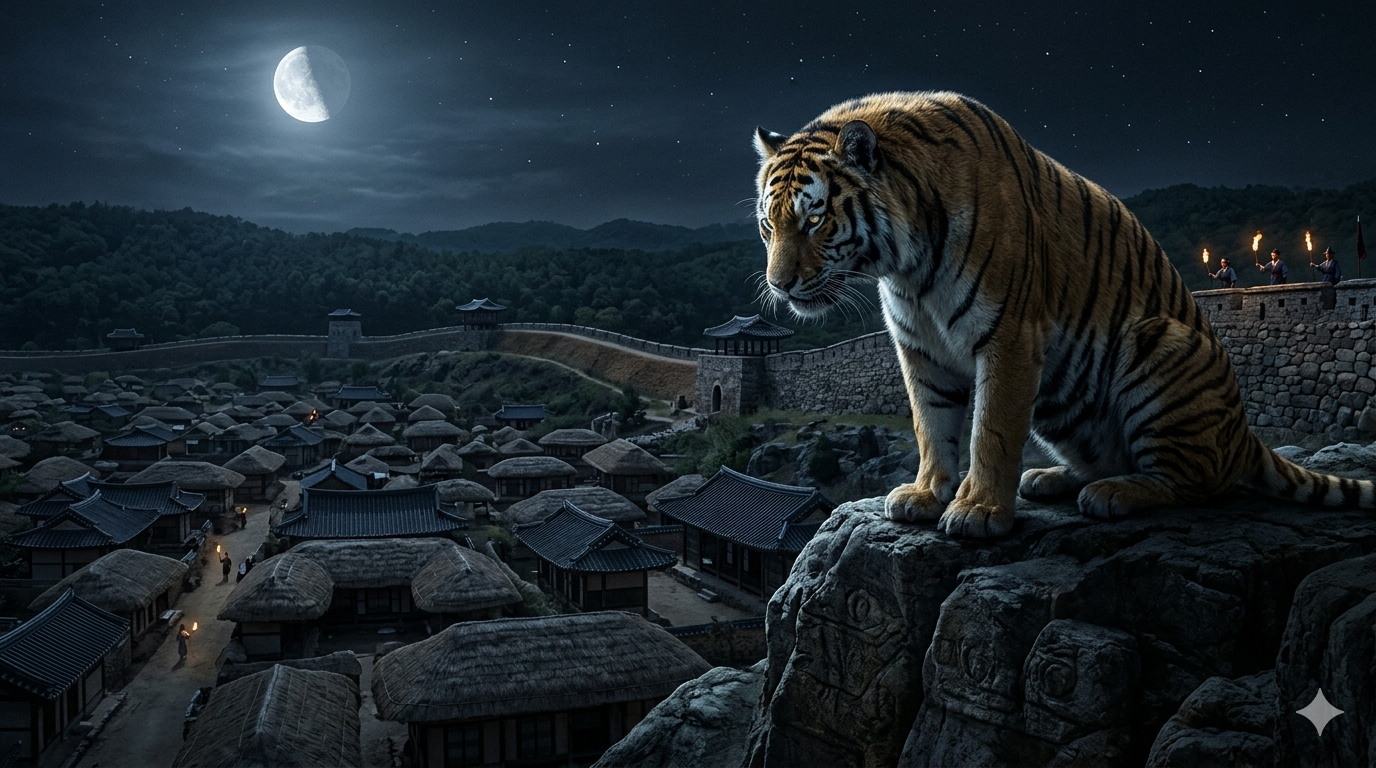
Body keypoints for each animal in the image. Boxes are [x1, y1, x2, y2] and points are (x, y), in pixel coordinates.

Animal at [752, 91, 1376, 538]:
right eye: (767, 224)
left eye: (814, 220)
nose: (779, 286)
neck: (905, 267)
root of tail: (1244, 432)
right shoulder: (919, 347)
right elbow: (932, 425)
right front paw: (928, 494)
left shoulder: (1009, 335)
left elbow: (992, 430)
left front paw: (979, 511)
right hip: (1065, 401)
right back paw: (1050, 478)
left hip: (1159, 341)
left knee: (1195, 482)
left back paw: (1112, 494)